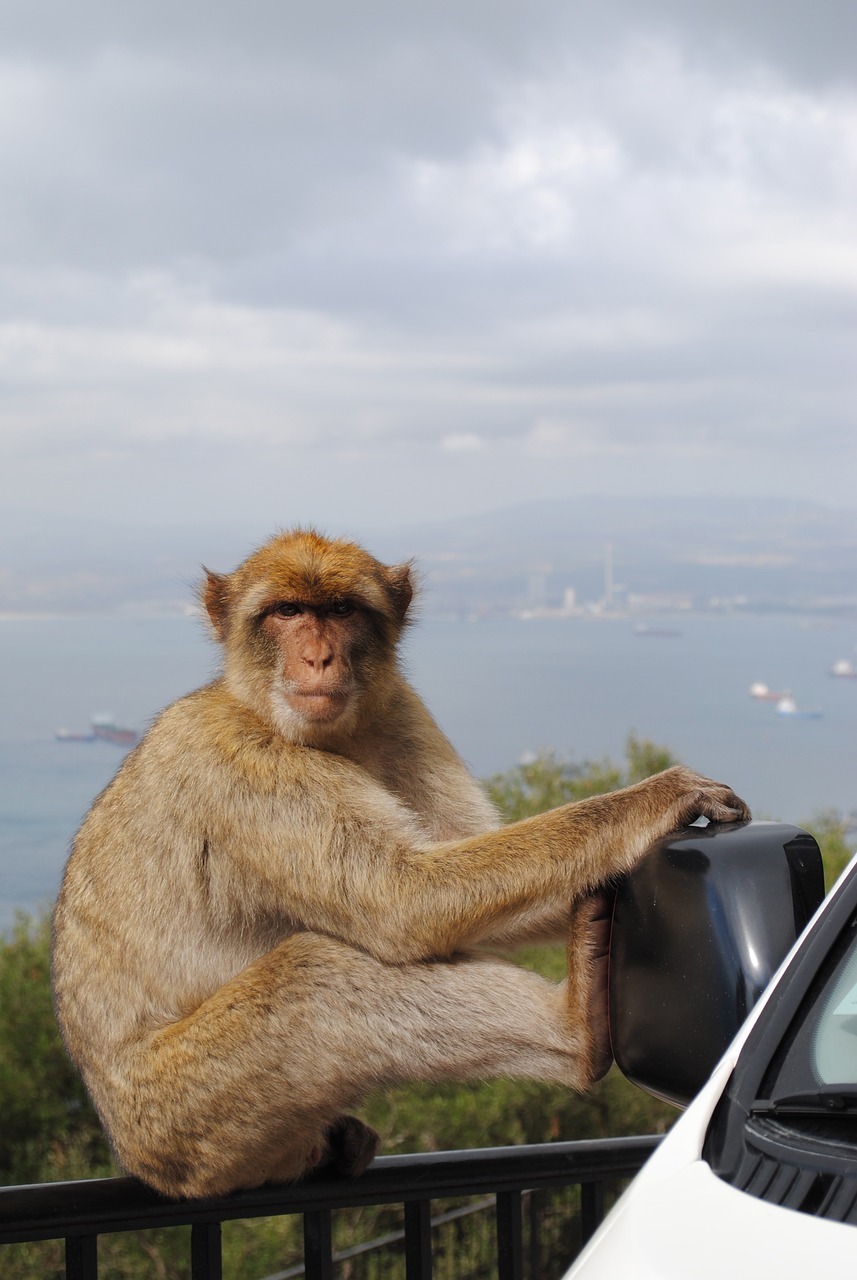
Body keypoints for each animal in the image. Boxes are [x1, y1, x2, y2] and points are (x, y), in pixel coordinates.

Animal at [52, 527, 752, 1198]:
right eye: (285, 612)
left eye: (339, 610)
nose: (318, 656)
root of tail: (132, 1153)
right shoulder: (240, 763)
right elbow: (404, 898)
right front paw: (656, 797)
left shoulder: (400, 711)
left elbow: (474, 868)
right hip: (181, 1117)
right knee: (314, 977)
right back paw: (577, 1031)